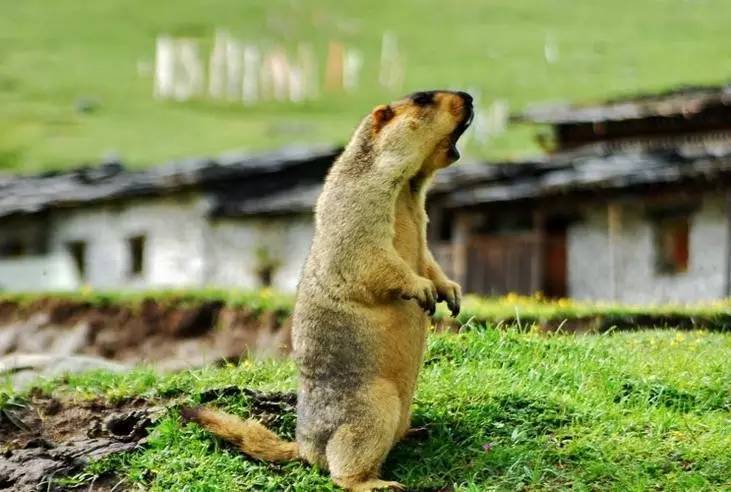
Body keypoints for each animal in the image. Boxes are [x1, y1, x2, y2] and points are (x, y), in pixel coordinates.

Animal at [183, 90, 473, 491]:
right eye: (422, 99)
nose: (470, 96)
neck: (408, 187)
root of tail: (304, 446)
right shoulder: (359, 201)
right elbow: (371, 254)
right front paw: (422, 287)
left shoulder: (422, 216)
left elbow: (427, 256)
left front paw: (449, 289)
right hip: (371, 406)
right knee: (341, 469)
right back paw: (373, 482)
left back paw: (416, 432)